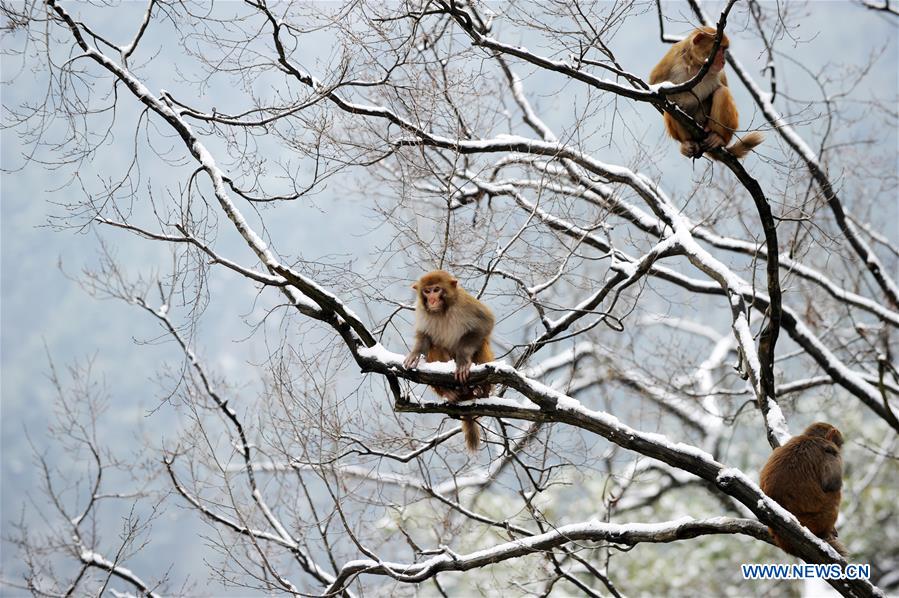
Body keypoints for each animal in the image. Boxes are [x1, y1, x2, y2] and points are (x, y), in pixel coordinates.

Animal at [404, 270, 496, 452]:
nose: (432, 299)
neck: (443, 310)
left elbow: (485, 323)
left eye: (437, 289)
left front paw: (462, 360)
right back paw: (449, 391)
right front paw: (415, 354)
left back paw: (482, 390)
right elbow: (424, 337)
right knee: (434, 346)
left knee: (481, 341)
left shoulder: (466, 303)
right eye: (427, 291)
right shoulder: (422, 312)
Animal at [652, 26, 764, 159]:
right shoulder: (671, 58)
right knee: (669, 104)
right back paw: (687, 143)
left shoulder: (720, 73)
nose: (723, 61)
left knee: (722, 92)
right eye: (719, 48)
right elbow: (655, 88)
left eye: (723, 49)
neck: (697, 66)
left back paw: (718, 138)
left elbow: (723, 89)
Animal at [760, 422, 852, 556]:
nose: (840, 448)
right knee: (835, 494)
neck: (809, 438)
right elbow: (832, 483)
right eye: (838, 444)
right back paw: (825, 533)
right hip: (815, 520)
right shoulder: (830, 452)